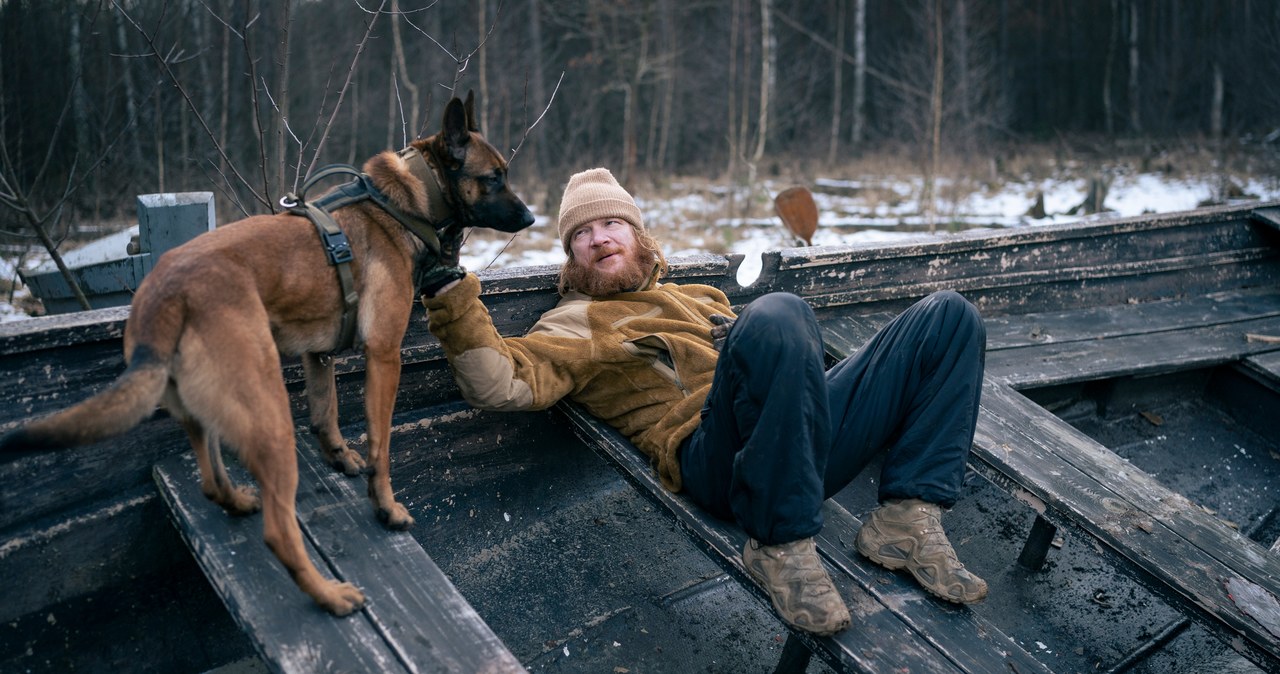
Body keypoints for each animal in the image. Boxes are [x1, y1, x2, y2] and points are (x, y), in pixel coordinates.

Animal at [0, 90, 532, 616]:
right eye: (494, 177)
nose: (529, 218)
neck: (405, 201)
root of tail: (167, 292)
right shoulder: (384, 356)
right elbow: (381, 448)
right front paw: (385, 507)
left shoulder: (319, 357)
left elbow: (325, 416)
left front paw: (341, 459)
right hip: (270, 418)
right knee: (278, 531)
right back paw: (330, 596)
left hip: (205, 413)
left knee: (212, 481)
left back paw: (238, 501)